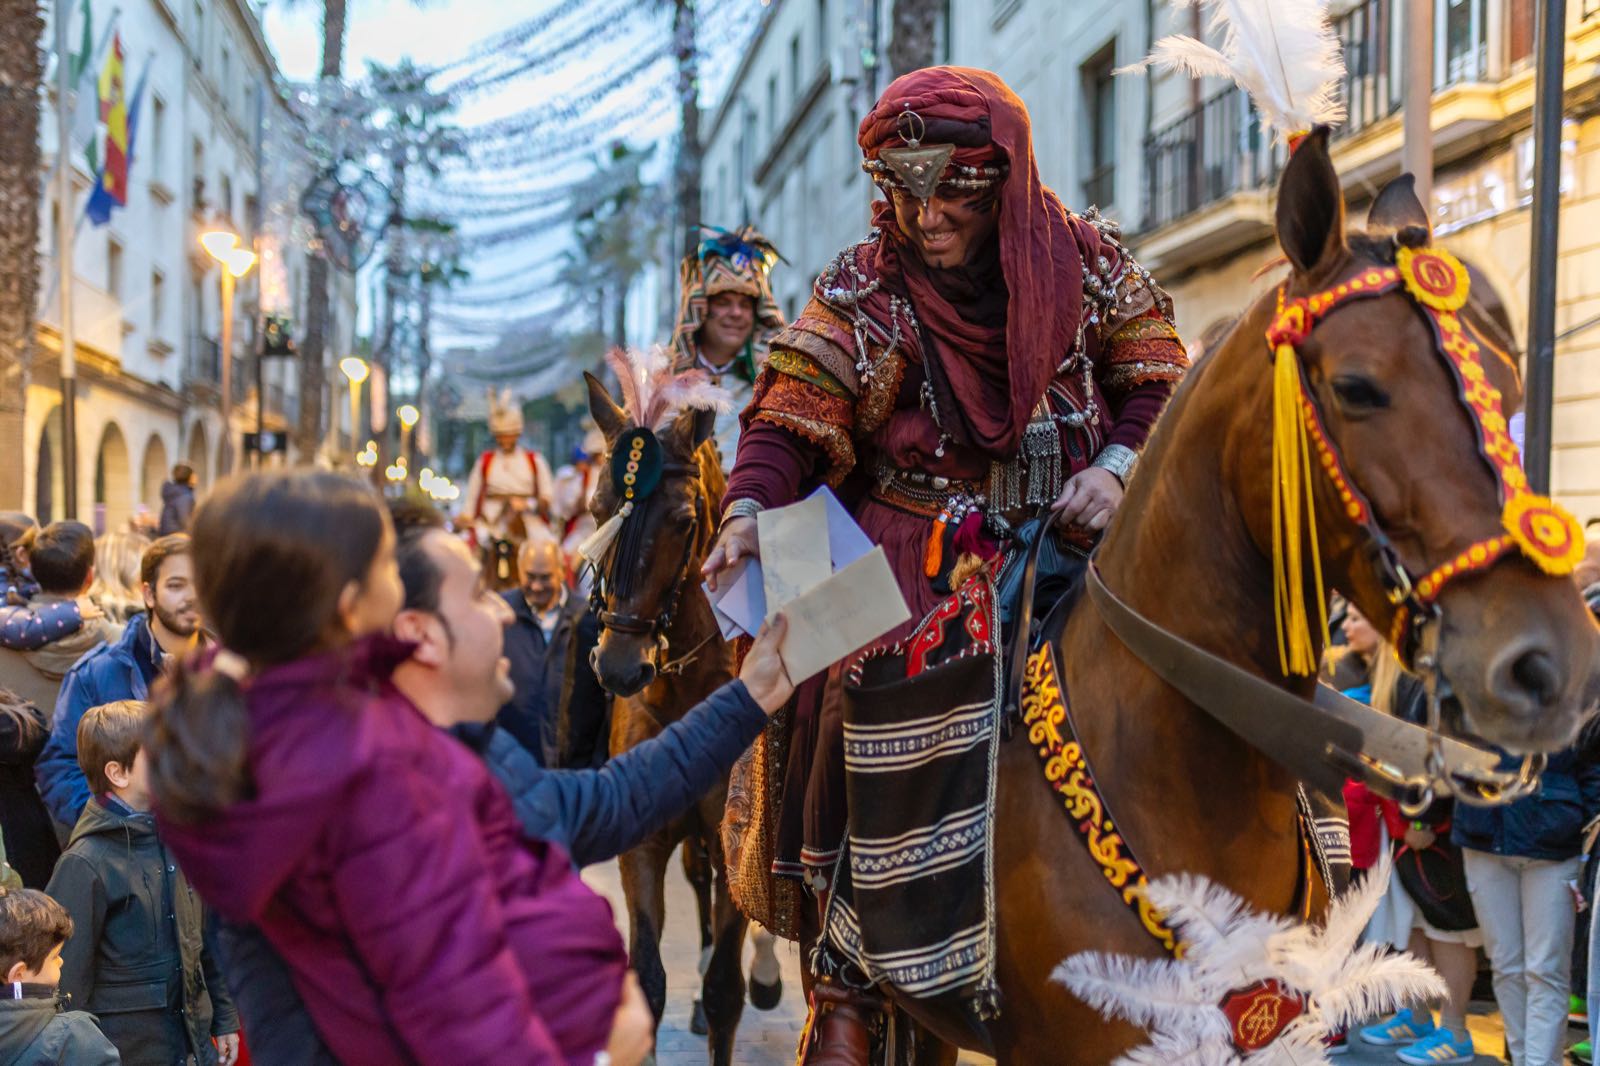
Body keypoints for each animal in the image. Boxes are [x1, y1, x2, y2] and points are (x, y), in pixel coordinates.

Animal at [585, 376, 758, 1062]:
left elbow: (725, 991)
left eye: (684, 522)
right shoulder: (644, 839)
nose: (620, 667)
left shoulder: (734, 833)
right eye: (598, 510)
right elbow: (648, 979)